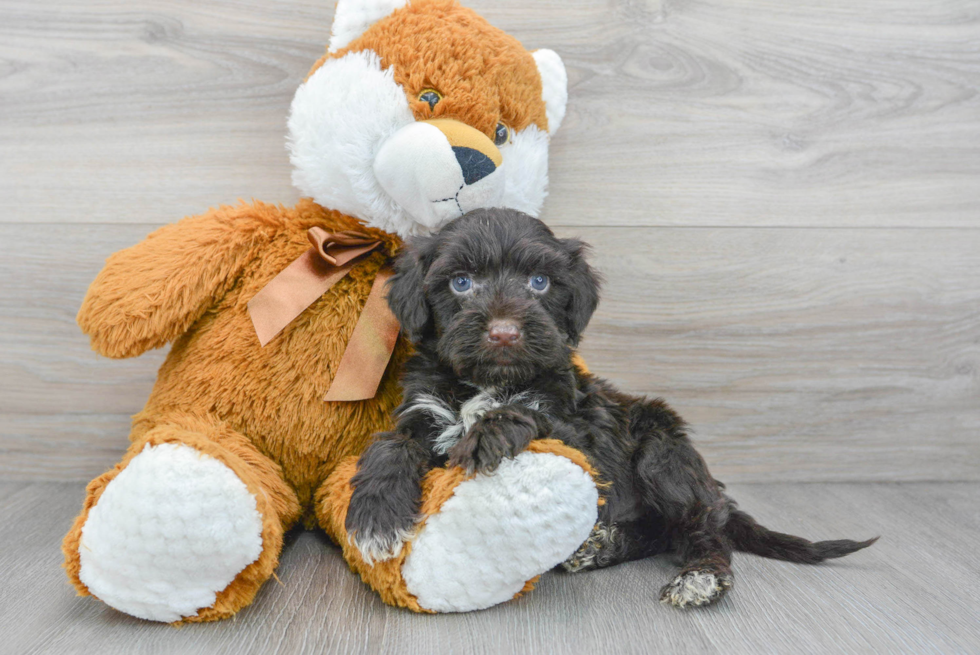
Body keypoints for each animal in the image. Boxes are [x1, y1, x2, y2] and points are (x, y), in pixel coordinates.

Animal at [348, 209, 876, 608]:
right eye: (461, 282)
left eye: (539, 282)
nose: (504, 332)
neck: (489, 380)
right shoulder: (423, 410)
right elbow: (389, 442)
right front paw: (376, 516)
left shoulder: (578, 430)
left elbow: (529, 413)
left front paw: (487, 434)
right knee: (661, 530)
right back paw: (602, 546)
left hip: (662, 454)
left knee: (699, 527)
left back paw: (701, 576)